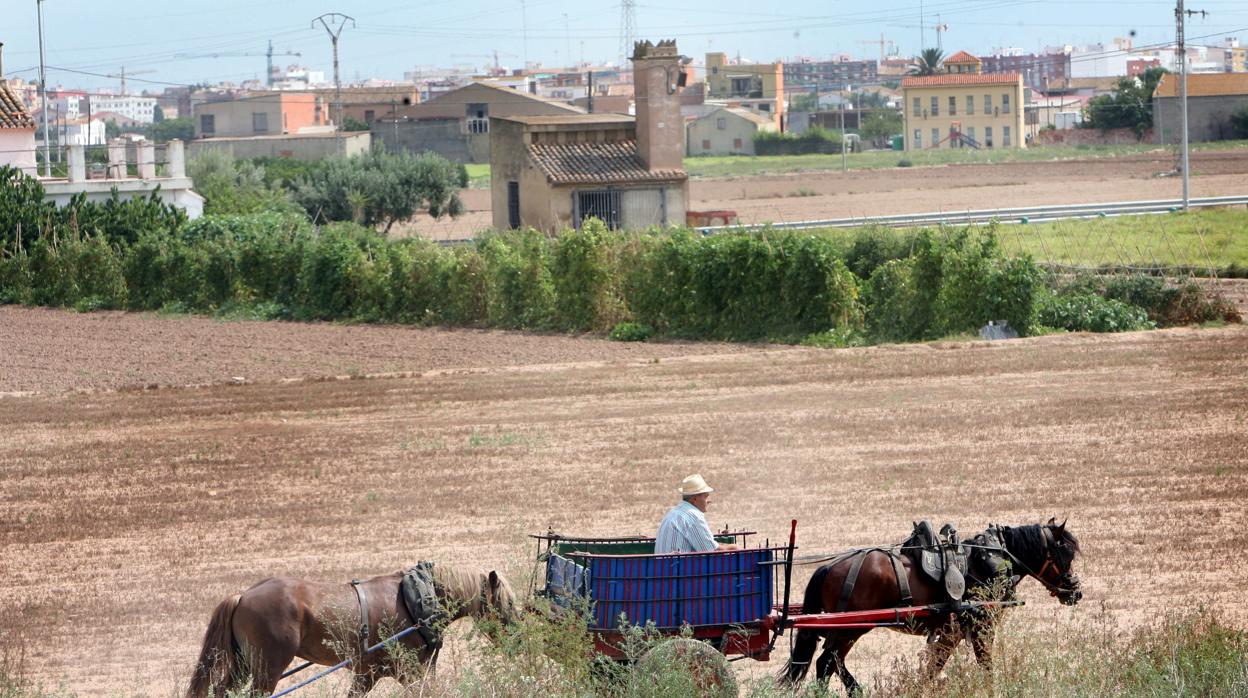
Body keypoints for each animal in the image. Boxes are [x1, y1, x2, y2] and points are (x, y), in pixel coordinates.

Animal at [183, 569, 516, 698]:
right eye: (509, 601)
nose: (517, 632)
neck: (416, 600)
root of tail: (242, 595)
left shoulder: (367, 675)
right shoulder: (404, 672)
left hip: (243, 664)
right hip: (267, 669)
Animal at [778, 519, 1083, 694]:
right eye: (1065, 552)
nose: (1075, 591)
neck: (989, 560)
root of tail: (829, 566)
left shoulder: (951, 632)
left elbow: (933, 667)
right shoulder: (980, 627)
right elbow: (983, 664)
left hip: (845, 629)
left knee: (829, 662)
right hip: (853, 628)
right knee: (827, 662)